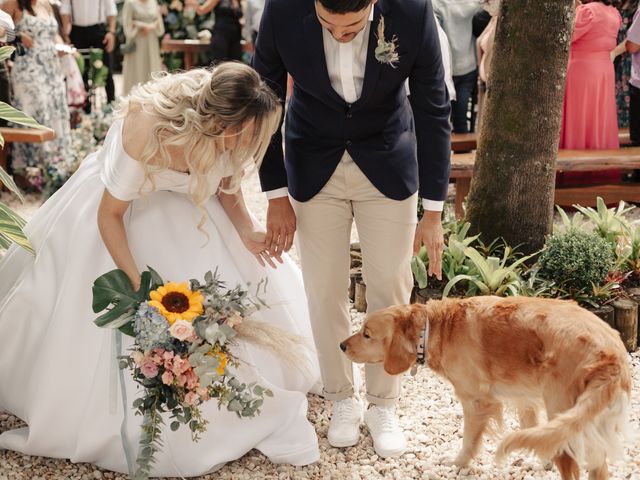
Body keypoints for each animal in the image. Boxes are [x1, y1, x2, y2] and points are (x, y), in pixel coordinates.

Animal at [342, 296, 632, 480]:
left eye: (367, 334)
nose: (341, 345)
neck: (437, 327)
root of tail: (611, 352)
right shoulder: (525, 397)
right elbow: (532, 429)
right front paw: (541, 460)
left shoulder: (477, 401)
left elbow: (469, 440)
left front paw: (458, 464)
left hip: (564, 415)